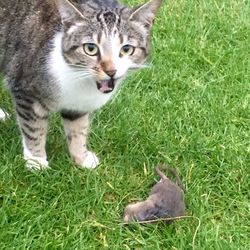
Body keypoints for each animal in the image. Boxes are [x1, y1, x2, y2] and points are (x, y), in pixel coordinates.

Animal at [0, 0, 163, 170]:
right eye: (90, 48)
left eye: (126, 49)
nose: (111, 71)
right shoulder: (26, 92)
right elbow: (34, 129)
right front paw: (36, 161)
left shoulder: (78, 105)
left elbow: (78, 129)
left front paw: (81, 158)